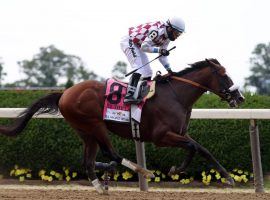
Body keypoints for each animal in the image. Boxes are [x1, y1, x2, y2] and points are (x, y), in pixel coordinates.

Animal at [0, 58, 245, 193]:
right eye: (224, 75)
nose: (240, 97)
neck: (176, 95)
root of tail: (65, 93)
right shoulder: (162, 136)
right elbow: (193, 148)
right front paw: (176, 169)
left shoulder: (180, 133)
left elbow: (202, 149)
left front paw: (229, 177)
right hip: (95, 125)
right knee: (111, 153)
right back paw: (142, 171)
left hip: (85, 131)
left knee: (88, 161)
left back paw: (101, 186)